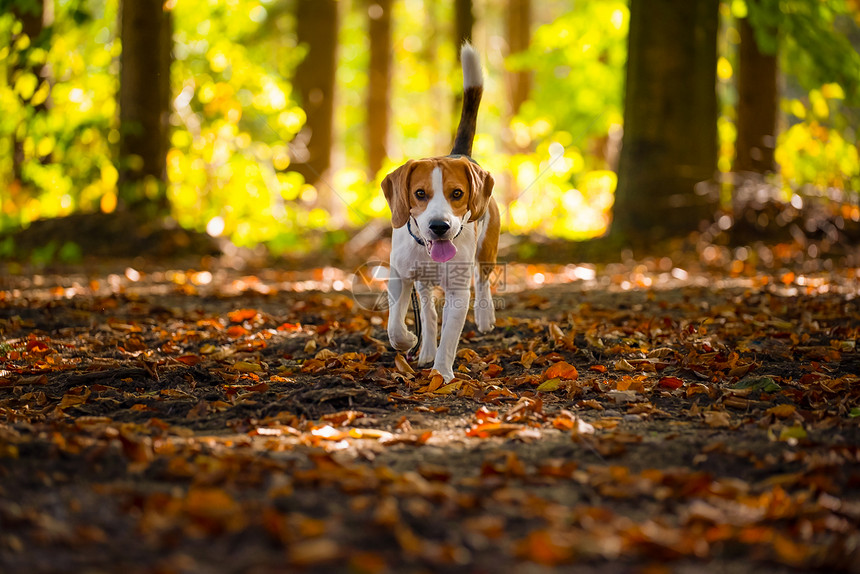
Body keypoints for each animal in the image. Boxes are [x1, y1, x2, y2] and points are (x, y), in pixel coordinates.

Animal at [382, 45, 498, 382]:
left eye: (457, 194)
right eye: (420, 194)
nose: (439, 226)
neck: (427, 249)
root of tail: (459, 154)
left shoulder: (458, 291)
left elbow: (450, 337)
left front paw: (442, 374)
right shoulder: (399, 277)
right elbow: (395, 325)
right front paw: (409, 340)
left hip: (487, 248)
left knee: (483, 280)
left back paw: (484, 316)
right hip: (422, 285)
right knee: (428, 310)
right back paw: (424, 350)